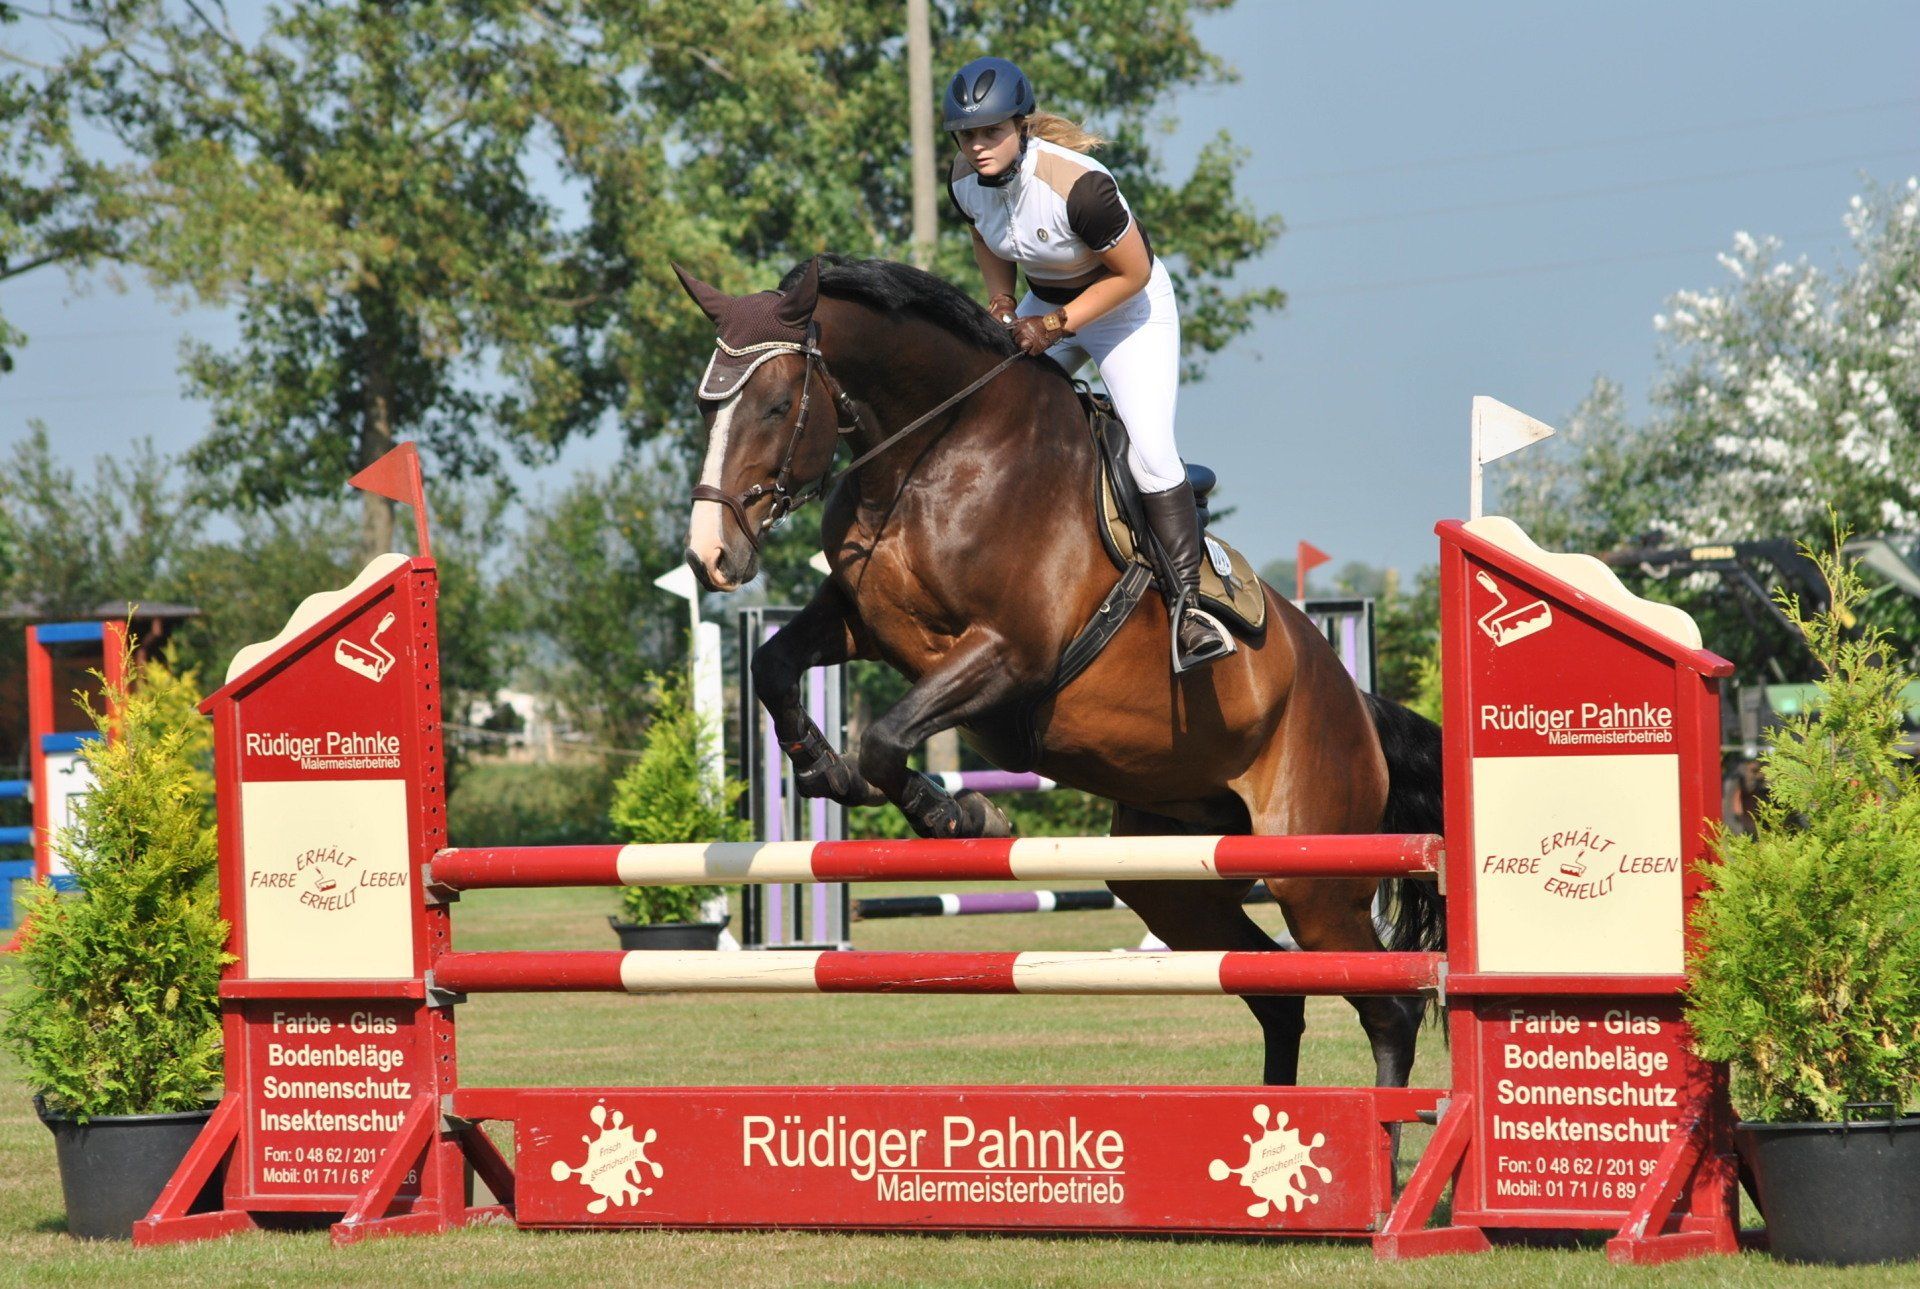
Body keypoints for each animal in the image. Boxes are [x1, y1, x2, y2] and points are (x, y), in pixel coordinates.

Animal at [675, 251, 1443, 1091]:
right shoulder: (860, 620)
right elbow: (774, 664)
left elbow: (883, 738)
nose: (710, 556)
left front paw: (962, 816)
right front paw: (821, 769)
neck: (931, 457)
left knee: (1388, 1006)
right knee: (1278, 992)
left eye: (778, 405)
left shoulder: (1013, 653)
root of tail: (1357, 706)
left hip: (1314, 876)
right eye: (706, 408)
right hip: (1171, 874)